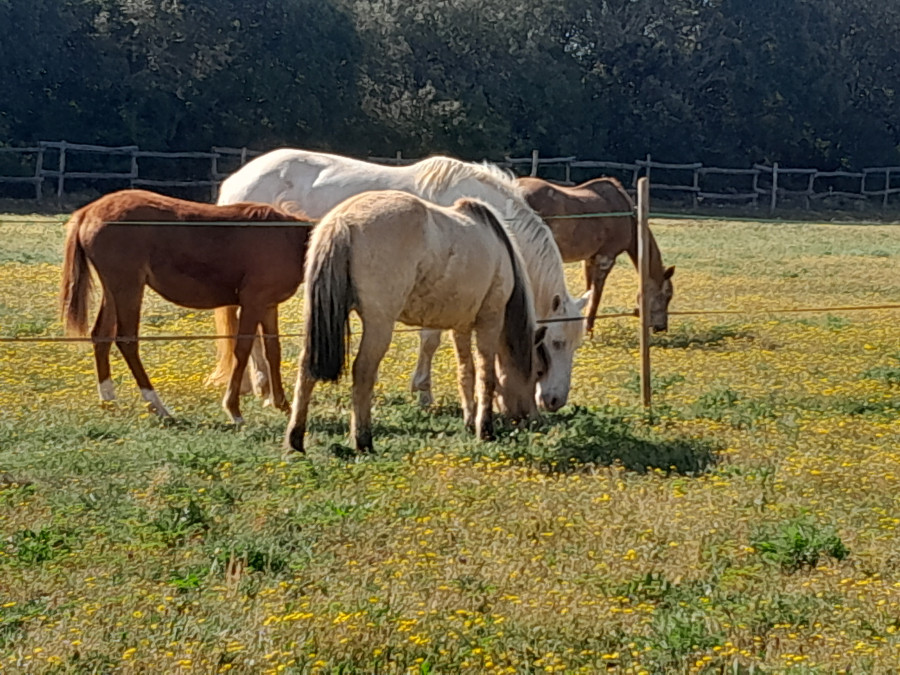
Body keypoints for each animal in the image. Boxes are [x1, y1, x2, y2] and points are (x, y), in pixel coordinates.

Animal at [59, 189, 312, 422]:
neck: (289, 238)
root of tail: (88, 212)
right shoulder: (253, 303)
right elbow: (242, 350)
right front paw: (233, 409)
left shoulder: (268, 306)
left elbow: (273, 351)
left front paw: (283, 405)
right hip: (128, 287)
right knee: (127, 340)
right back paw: (157, 406)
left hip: (114, 292)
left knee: (101, 337)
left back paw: (109, 402)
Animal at [214, 149, 588, 412]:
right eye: (555, 342)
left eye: (575, 344)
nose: (555, 401)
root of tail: (235, 180)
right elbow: (429, 340)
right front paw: (423, 393)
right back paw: (260, 386)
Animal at [284, 190, 544, 454]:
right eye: (537, 372)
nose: (534, 419)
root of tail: (342, 220)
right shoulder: (490, 320)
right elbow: (486, 375)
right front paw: (485, 430)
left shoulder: (460, 327)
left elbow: (466, 372)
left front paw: (470, 422)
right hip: (379, 324)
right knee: (363, 371)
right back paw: (364, 441)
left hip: (321, 325)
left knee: (306, 369)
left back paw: (295, 440)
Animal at [512, 174, 676, 332]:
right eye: (667, 295)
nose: (662, 328)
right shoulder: (605, 258)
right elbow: (596, 295)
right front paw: (588, 330)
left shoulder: (589, 260)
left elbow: (588, 292)